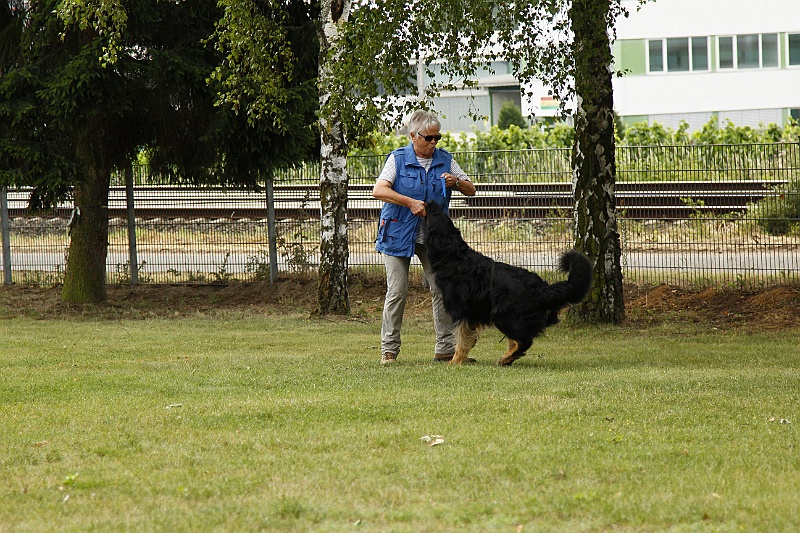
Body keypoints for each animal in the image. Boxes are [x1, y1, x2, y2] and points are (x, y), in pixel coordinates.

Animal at [424, 201, 593, 366]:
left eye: (434, 214)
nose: (429, 202)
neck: (454, 255)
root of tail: (543, 288)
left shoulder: (464, 313)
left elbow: (462, 341)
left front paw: (455, 361)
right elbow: (468, 340)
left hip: (502, 314)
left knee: (524, 341)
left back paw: (506, 358)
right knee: (517, 340)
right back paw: (508, 358)